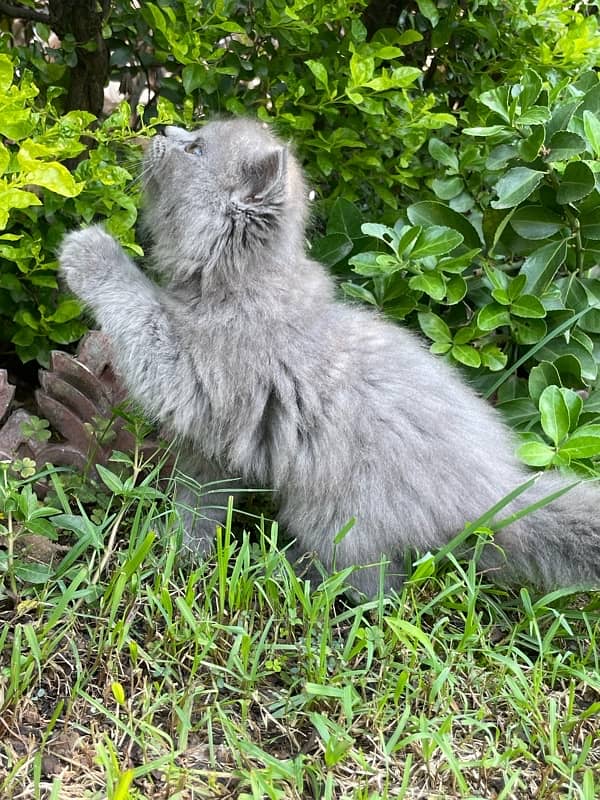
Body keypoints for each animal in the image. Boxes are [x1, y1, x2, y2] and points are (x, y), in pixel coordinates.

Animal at [59, 115, 600, 596]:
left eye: (195, 149)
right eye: (189, 136)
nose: (163, 130)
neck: (236, 285)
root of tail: (492, 492)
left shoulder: (192, 370)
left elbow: (138, 307)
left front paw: (89, 249)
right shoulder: (212, 448)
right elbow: (198, 506)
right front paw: (176, 552)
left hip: (337, 518)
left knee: (377, 590)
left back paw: (288, 576)